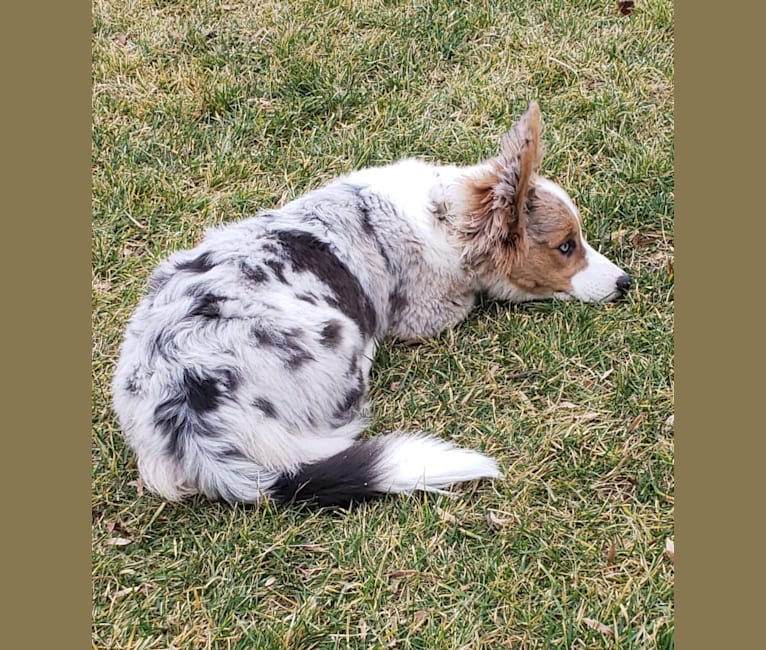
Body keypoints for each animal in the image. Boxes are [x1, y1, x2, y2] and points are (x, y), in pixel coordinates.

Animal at [112, 102, 632, 506]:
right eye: (566, 246)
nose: (626, 282)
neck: (446, 216)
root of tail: (188, 422)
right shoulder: (431, 310)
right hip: (338, 337)